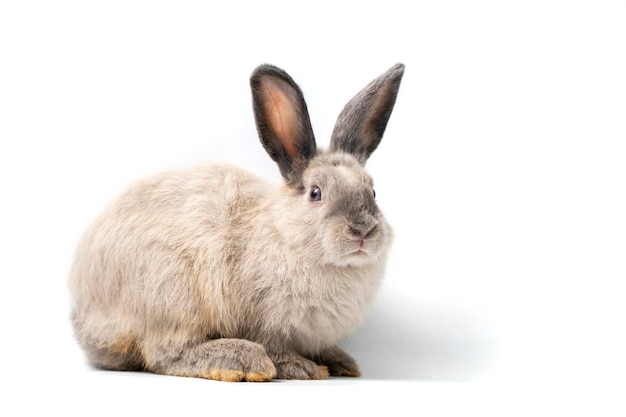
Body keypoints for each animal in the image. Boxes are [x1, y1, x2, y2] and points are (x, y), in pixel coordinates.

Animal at [68, 62, 404, 380]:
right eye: (315, 193)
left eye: (373, 191)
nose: (363, 230)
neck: (284, 235)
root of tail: (84, 320)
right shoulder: (263, 323)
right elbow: (276, 348)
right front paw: (302, 368)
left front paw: (339, 360)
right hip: (171, 296)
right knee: (167, 354)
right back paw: (243, 361)